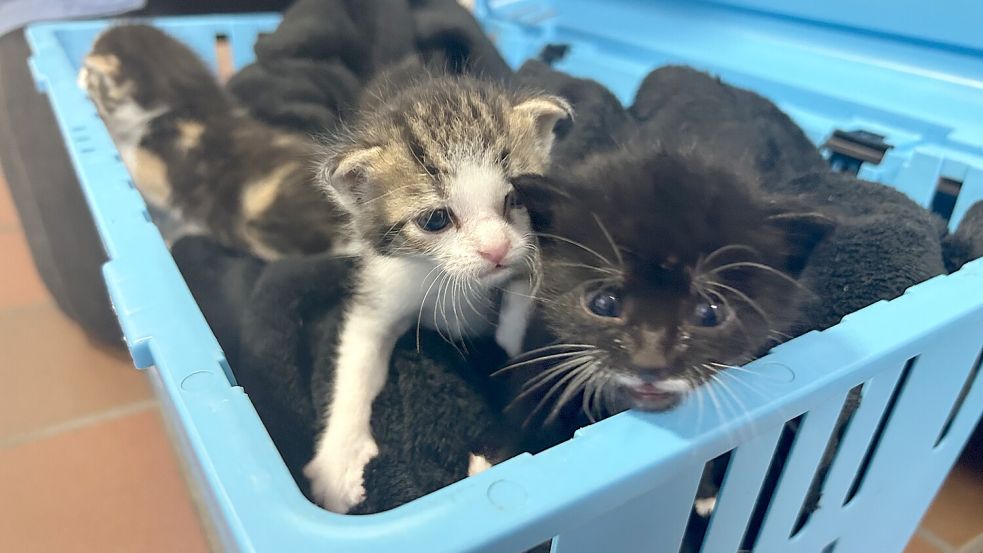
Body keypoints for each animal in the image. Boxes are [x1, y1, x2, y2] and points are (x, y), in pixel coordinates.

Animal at [304, 67, 572, 512]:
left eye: (515, 198)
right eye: (435, 220)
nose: (496, 249)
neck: (451, 279)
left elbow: (522, 300)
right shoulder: (383, 287)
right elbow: (358, 359)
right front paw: (339, 462)